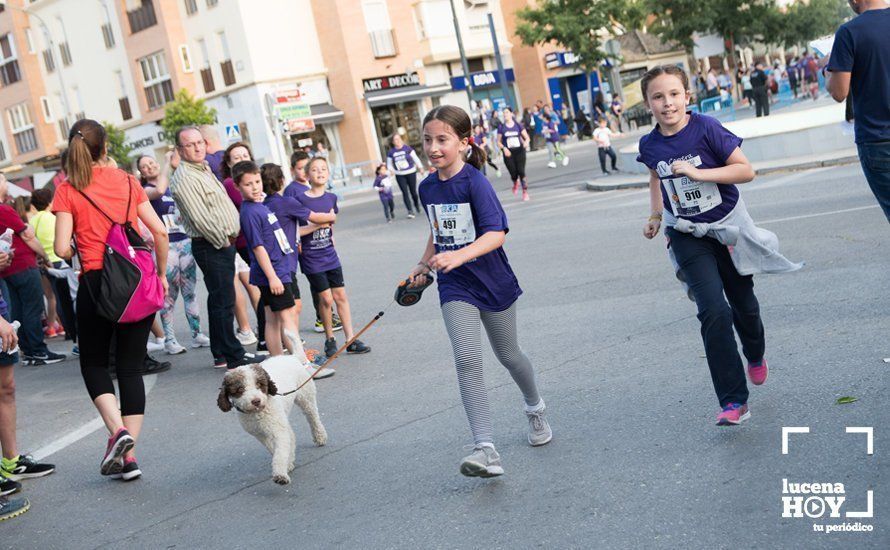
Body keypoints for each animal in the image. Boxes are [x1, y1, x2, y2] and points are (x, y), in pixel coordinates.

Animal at [217, 334, 328, 486]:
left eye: (259, 384)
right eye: (240, 389)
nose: (256, 400)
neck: (257, 413)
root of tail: (292, 357)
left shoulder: (278, 431)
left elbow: (280, 453)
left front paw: (281, 474)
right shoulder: (260, 434)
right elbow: (274, 448)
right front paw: (288, 463)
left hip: (306, 398)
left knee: (313, 418)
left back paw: (320, 436)